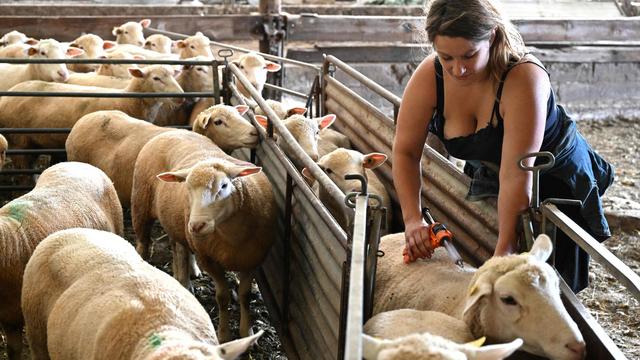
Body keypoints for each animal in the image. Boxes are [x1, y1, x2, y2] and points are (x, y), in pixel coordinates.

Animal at [131, 129, 276, 340]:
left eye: (224, 186)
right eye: (187, 188)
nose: (197, 225)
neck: (232, 236)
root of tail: (173, 130)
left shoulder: (253, 259)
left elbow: (245, 295)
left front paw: (246, 331)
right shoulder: (208, 259)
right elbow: (222, 297)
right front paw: (223, 334)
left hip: (175, 220)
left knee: (179, 247)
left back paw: (184, 275)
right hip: (141, 206)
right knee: (143, 244)